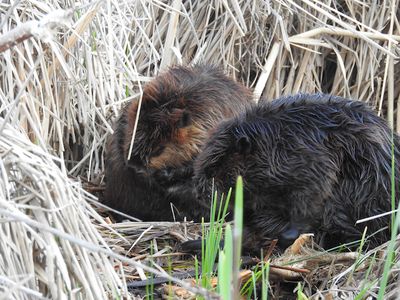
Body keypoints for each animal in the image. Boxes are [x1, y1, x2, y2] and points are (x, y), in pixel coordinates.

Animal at [194, 94, 400, 251]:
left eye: (214, 168)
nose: (199, 193)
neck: (274, 141)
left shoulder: (312, 161)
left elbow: (311, 198)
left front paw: (289, 234)